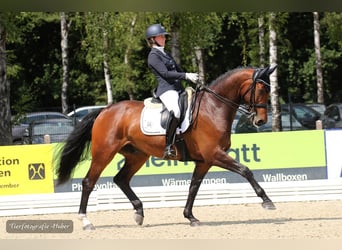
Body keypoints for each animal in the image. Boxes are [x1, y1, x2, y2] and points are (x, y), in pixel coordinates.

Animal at [56, 64, 278, 229]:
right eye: (261, 89)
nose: (260, 121)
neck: (214, 107)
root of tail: (105, 110)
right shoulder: (215, 154)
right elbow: (245, 170)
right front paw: (267, 201)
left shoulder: (205, 160)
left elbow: (194, 186)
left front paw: (190, 217)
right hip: (104, 153)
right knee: (88, 182)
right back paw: (86, 221)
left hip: (137, 155)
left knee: (121, 179)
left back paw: (139, 212)